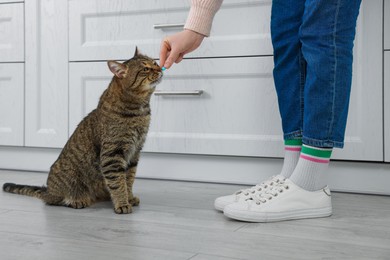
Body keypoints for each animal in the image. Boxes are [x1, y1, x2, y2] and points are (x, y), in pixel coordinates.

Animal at [2, 47, 162, 214]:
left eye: (155, 63)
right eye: (145, 69)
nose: (160, 68)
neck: (140, 110)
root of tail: (48, 190)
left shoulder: (135, 151)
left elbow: (129, 179)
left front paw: (129, 197)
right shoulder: (112, 154)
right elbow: (118, 182)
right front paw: (122, 203)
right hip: (69, 183)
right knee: (53, 200)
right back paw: (76, 200)